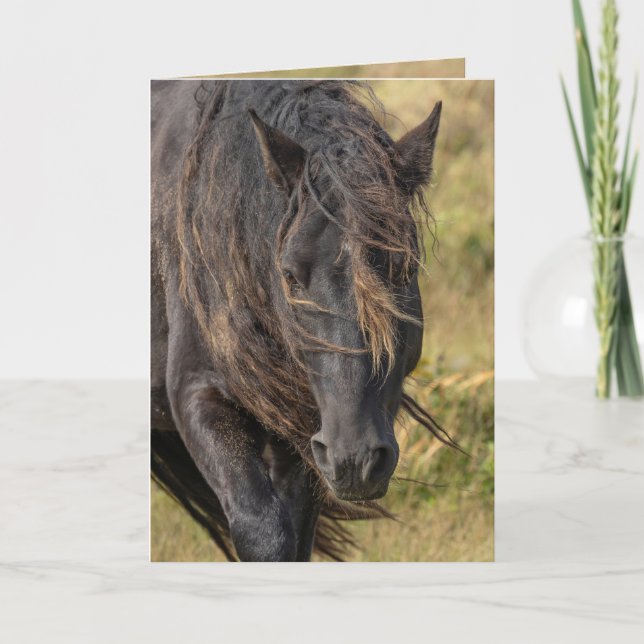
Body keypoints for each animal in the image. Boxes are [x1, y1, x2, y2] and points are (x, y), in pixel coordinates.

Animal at [151, 79, 454, 562]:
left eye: (405, 267)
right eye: (290, 274)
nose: (355, 461)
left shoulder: (301, 430)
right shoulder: (197, 394)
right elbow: (262, 531)